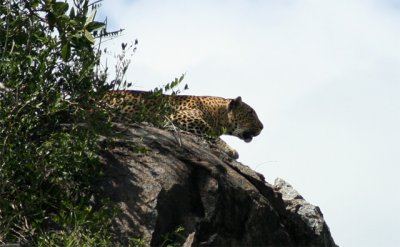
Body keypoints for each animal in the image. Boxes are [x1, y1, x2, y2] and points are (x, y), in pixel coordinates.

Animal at [104, 90, 264, 158]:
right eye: (251, 113)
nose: (262, 127)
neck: (217, 113)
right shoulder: (180, 116)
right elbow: (211, 131)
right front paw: (230, 149)